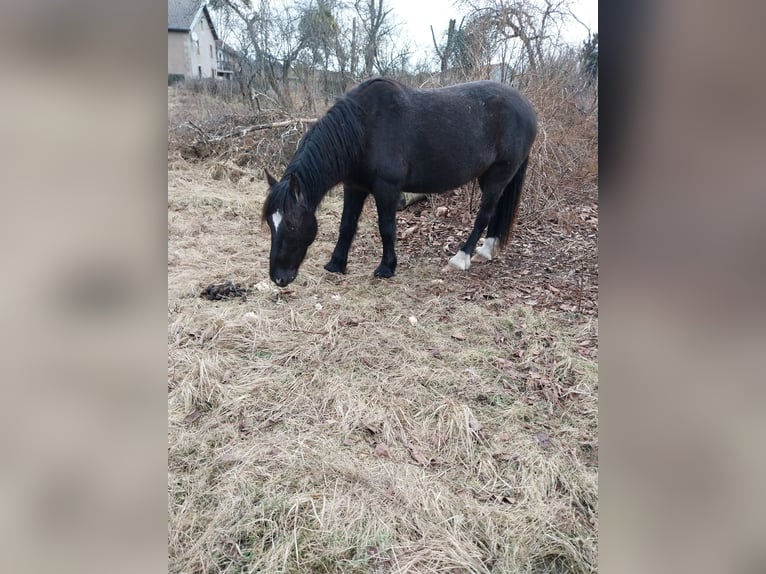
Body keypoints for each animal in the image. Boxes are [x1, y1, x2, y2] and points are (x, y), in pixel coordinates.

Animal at [264, 77, 540, 288]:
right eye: (270, 224)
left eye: (291, 225)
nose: (279, 279)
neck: (364, 128)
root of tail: (527, 107)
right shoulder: (354, 187)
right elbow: (346, 226)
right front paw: (336, 264)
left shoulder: (387, 188)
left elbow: (386, 228)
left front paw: (386, 268)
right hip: (491, 175)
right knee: (496, 211)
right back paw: (487, 250)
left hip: (499, 174)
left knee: (485, 213)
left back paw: (462, 258)